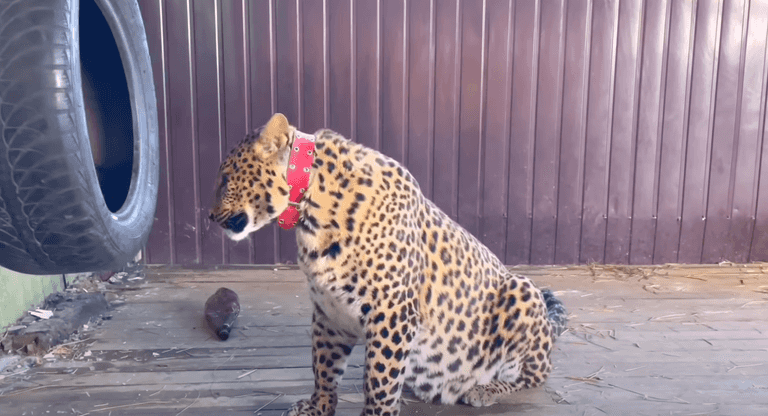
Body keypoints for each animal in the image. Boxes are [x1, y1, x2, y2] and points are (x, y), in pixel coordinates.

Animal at [209, 113, 568, 416]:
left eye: (225, 179)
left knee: (533, 373)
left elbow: (379, 381)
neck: (312, 215)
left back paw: (485, 388)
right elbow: (323, 367)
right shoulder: (330, 312)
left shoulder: (392, 312)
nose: (209, 217)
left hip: (522, 290)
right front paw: (318, 406)